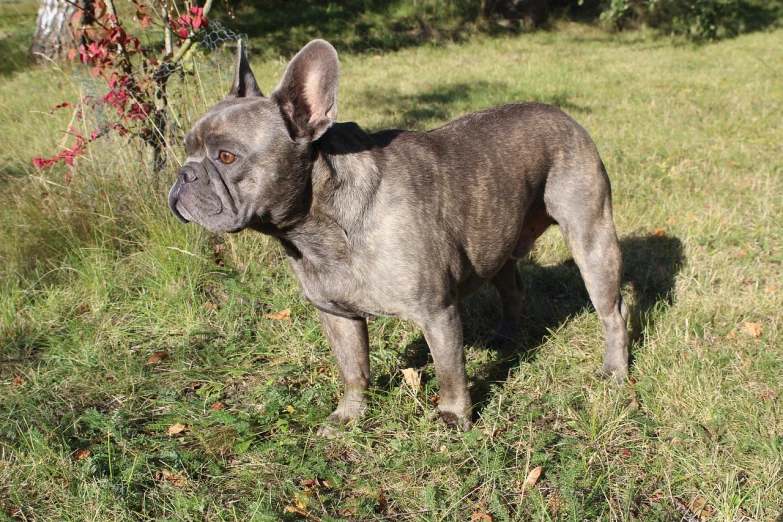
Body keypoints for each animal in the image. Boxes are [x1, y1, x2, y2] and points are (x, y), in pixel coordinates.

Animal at [168, 39, 628, 430]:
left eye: (227, 157)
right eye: (187, 148)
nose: (184, 174)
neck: (321, 226)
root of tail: (563, 115)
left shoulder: (437, 313)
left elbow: (449, 371)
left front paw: (455, 417)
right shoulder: (337, 315)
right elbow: (354, 370)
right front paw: (350, 416)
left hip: (591, 240)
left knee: (612, 312)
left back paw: (616, 372)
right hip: (495, 243)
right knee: (513, 289)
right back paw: (506, 339)